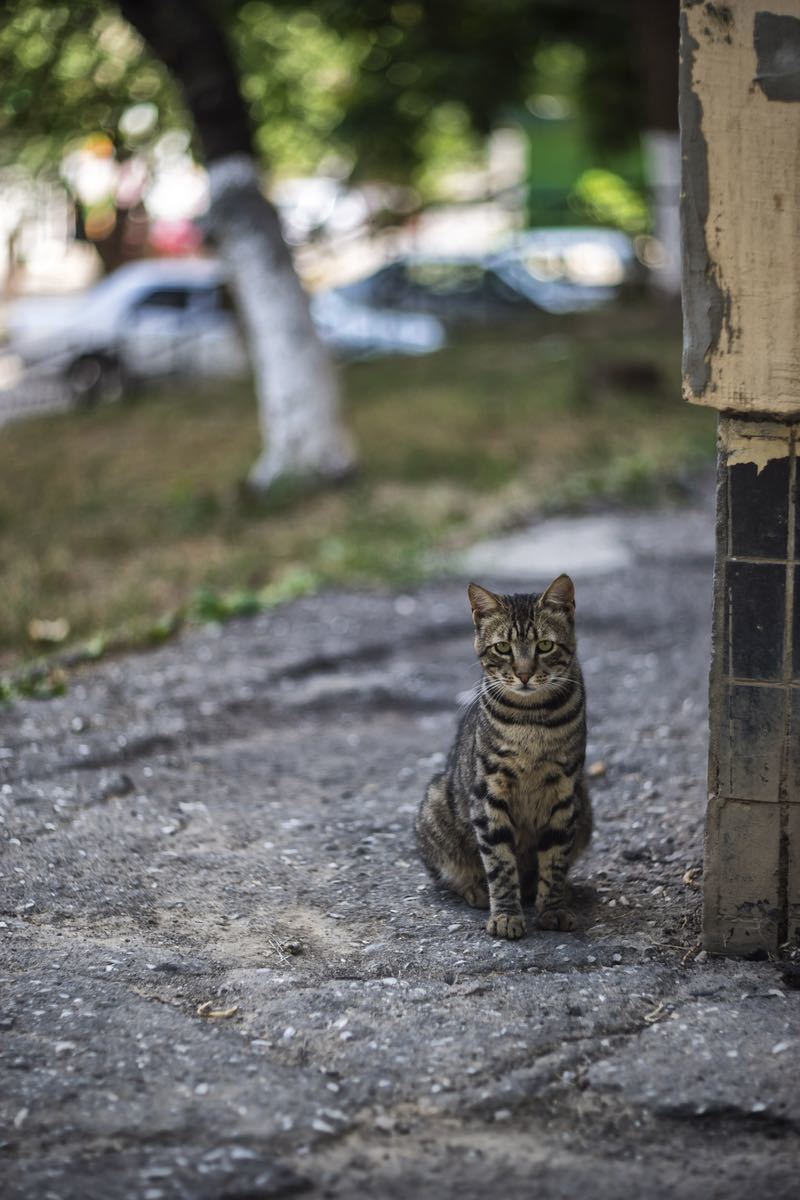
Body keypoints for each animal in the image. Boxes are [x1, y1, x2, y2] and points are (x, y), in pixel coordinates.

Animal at [417, 576, 592, 940]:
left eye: (544, 646)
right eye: (502, 648)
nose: (524, 674)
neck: (531, 719)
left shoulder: (564, 789)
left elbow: (555, 859)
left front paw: (553, 909)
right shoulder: (489, 792)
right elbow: (499, 863)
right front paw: (506, 916)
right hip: (436, 807)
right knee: (449, 873)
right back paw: (476, 890)